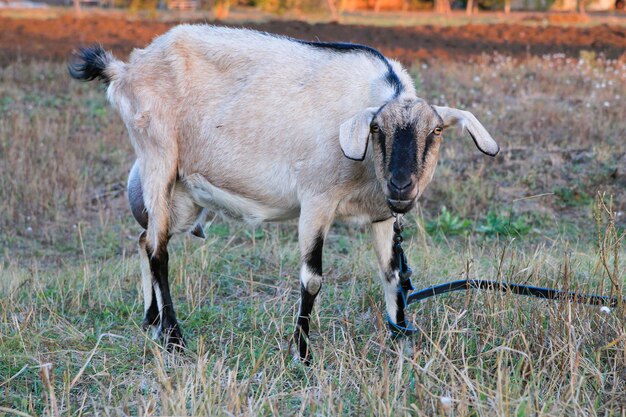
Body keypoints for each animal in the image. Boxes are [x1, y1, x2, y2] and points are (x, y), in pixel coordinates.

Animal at [68, 26, 498, 362]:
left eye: (436, 131)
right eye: (377, 128)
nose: (401, 185)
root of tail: (126, 69)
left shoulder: (381, 216)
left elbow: (393, 275)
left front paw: (400, 341)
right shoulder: (316, 201)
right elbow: (312, 279)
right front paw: (302, 355)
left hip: (183, 195)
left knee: (145, 239)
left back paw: (151, 321)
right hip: (158, 160)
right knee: (159, 250)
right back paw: (174, 338)